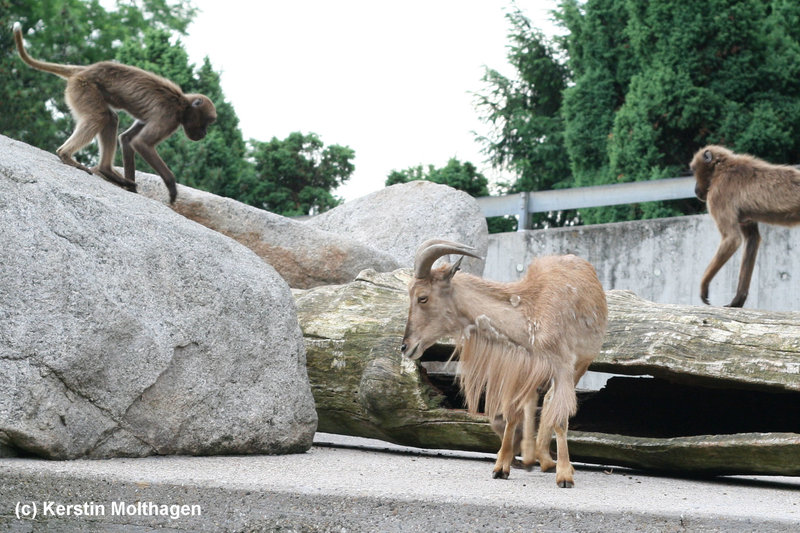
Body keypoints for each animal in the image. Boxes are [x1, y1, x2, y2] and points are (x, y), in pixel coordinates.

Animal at [12, 22, 216, 202]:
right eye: (206, 122)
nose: (204, 133)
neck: (183, 104)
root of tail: (84, 69)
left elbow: (127, 139)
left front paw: (132, 189)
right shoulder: (169, 118)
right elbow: (141, 143)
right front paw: (171, 186)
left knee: (110, 118)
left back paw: (106, 170)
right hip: (84, 87)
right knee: (100, 117)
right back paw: (68, 156)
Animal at [688, 145, 800, 308]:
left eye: (695, 171)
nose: (695, 190)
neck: (721, 168)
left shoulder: (717, 195)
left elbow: (732, 239)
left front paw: (704, 285)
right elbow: (752, 239)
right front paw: (737, 300)